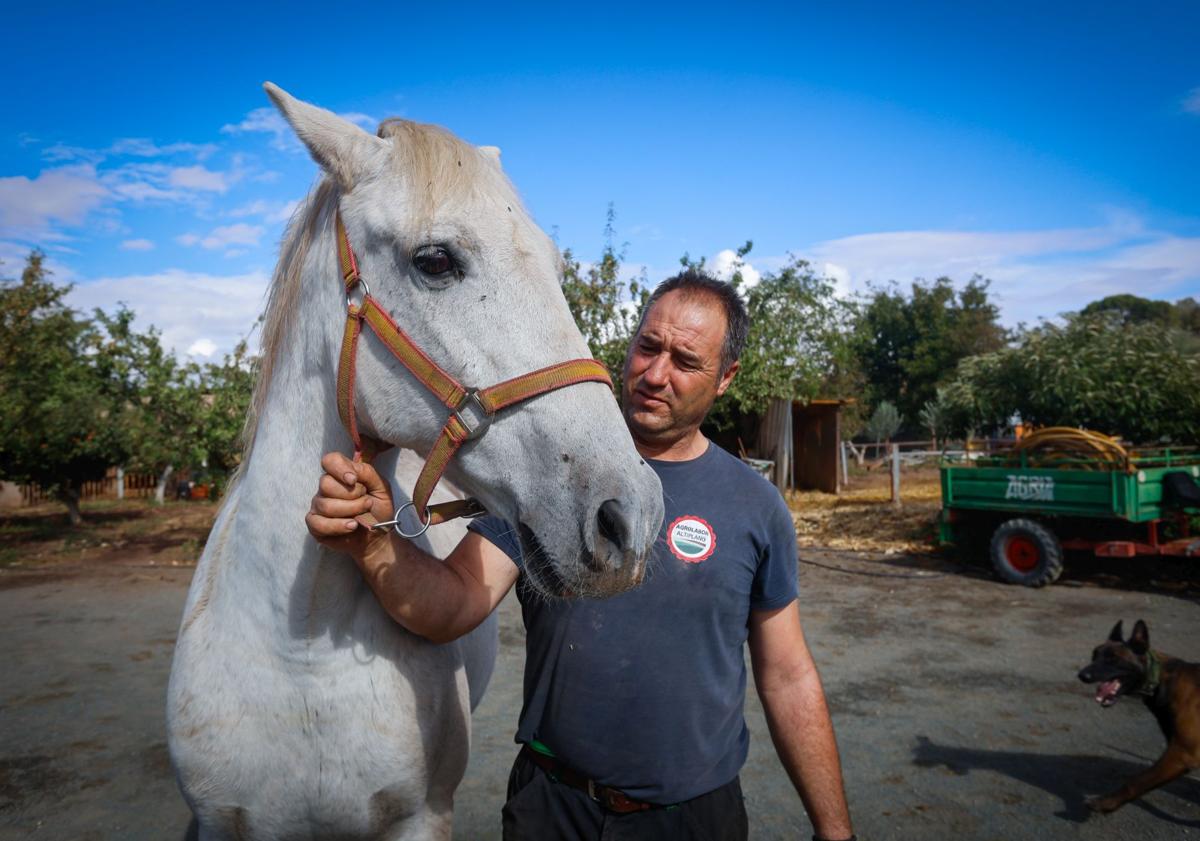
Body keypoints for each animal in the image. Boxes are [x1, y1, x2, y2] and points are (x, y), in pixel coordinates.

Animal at [1080, 619, 1200, 811]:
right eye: (1094, 654)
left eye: (1114, 658)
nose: (1082, 675)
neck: (1160, 679)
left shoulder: (1181, 753)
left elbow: (1137, 781)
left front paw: (1108, 802)